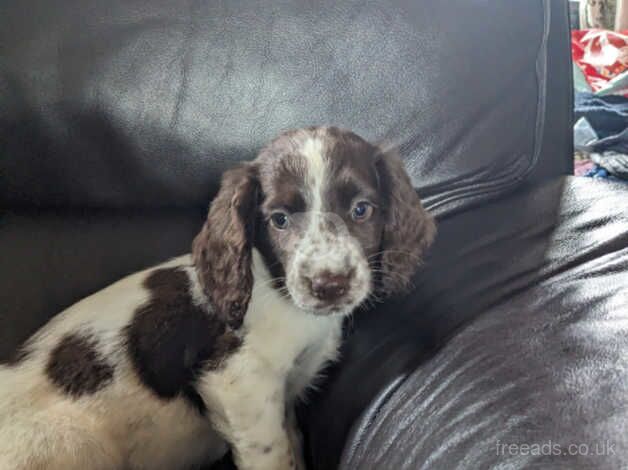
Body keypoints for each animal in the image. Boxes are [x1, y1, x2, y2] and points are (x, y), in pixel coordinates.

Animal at [0, 126, 436, 468]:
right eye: (279, 220)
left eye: (362, 210)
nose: (329, 284)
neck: (278, 291)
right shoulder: (239, 384)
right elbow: (273, 455)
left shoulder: (283, 393)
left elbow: (292, 442)